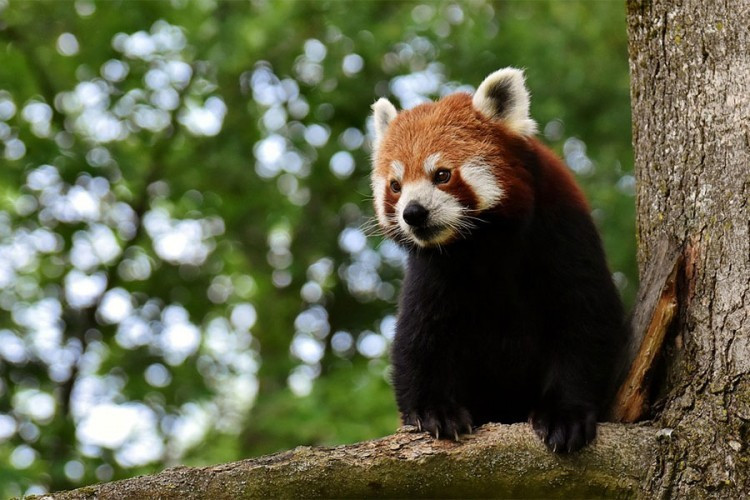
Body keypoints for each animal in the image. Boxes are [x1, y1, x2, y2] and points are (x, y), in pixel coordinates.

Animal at [370, 68, 628, 456]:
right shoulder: (433, 270)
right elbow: (418, 337)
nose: (413, 213)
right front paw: (435, 411)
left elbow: (585, 320)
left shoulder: (562, 233)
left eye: (442, 175)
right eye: (396, 186)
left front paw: (564, 415)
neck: (482, 244)